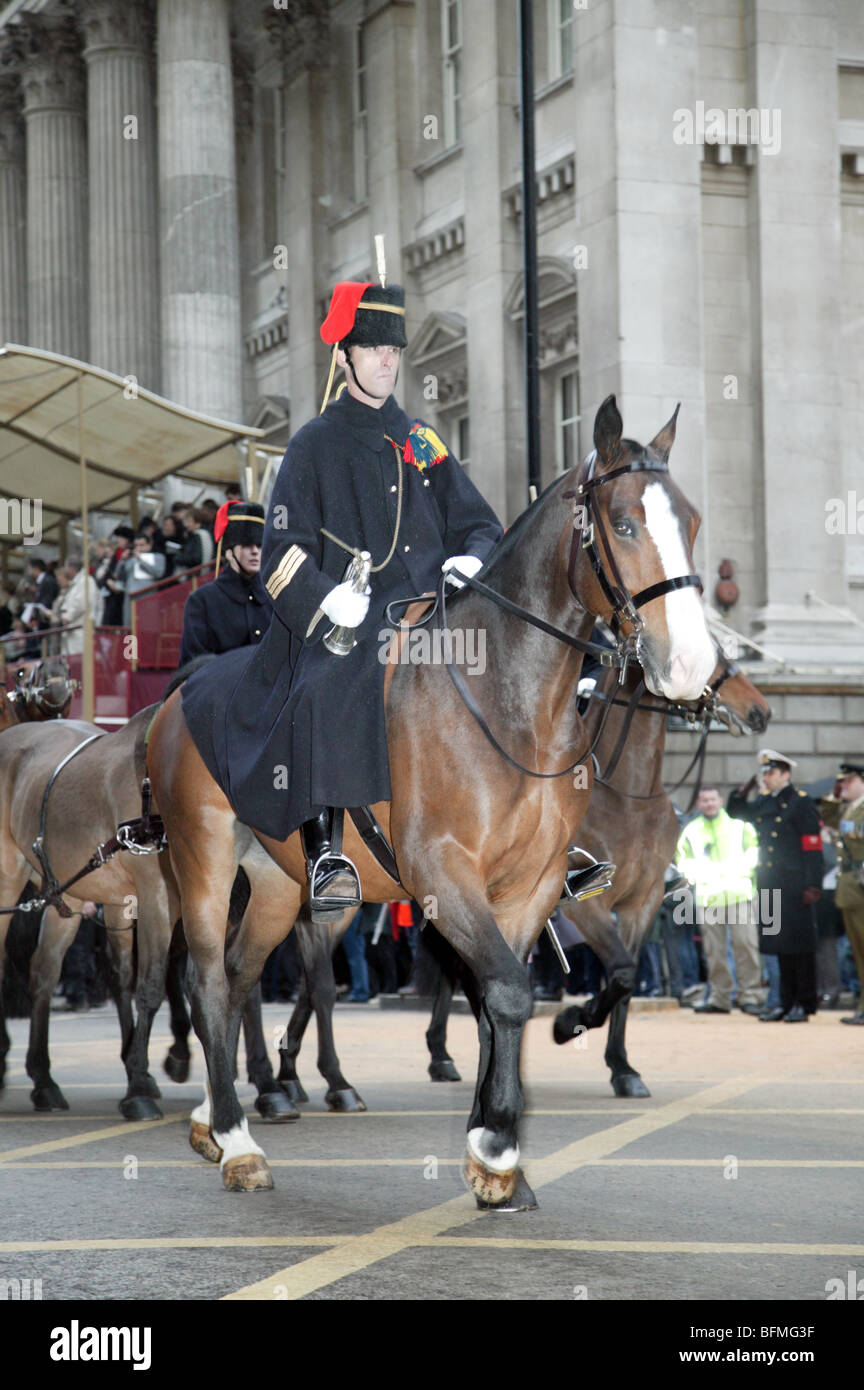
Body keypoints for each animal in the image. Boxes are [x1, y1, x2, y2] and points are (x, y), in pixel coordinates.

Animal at [147, 394, 716, 1206]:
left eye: (691, 521)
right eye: (625, 523)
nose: (694, 665)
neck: (509, 700)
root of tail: (180, 691)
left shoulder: (532, 886)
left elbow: (498, 1002)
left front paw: (494, 1152)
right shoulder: (445, 874)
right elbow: (506, 994)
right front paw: (497, 1144)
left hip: (276, 887)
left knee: (234, 977)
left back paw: (218, 1120)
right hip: (203, 865)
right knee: (204, 981)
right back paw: (236, 1139)